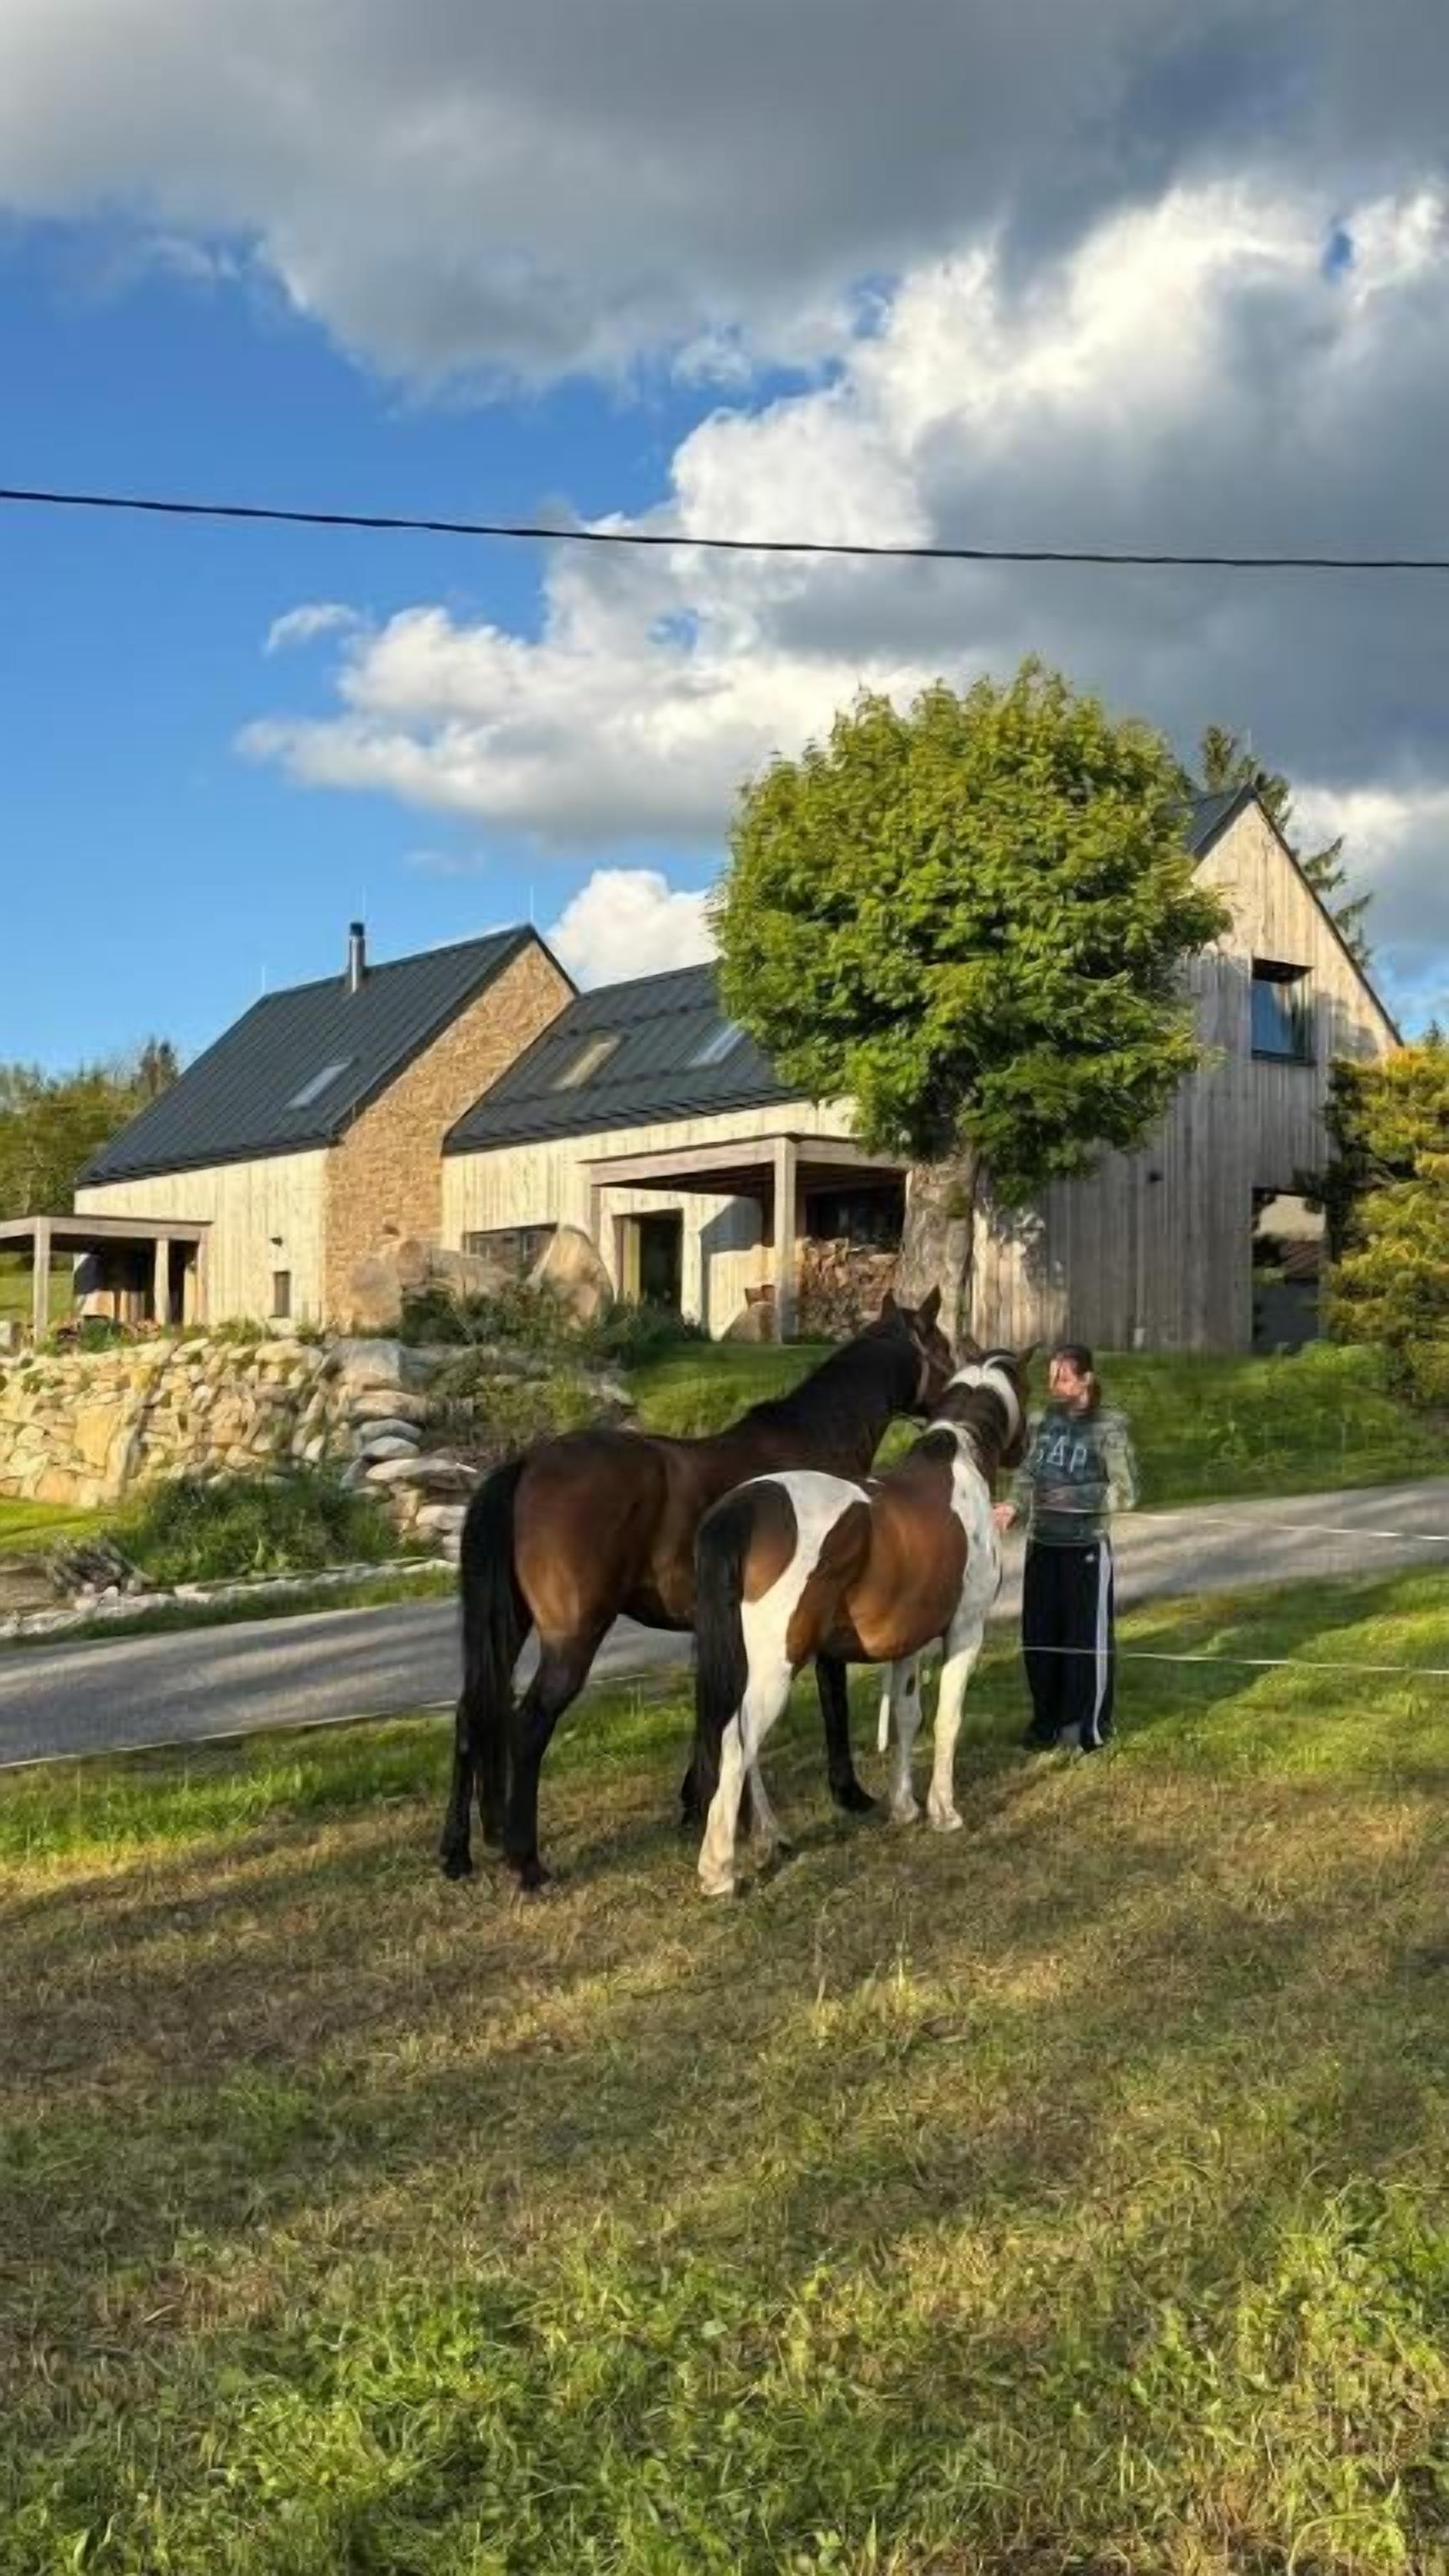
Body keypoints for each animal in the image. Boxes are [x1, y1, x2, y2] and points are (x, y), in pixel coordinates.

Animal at [439, 1291, 956, 1891]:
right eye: (944, 1347)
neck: (813, 1442)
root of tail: (526, 1464)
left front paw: (700, 1803)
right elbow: (832, 1698)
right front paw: (847, 1793)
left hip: (511, 1627)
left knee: (471, 1715)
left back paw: (457, 1853)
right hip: (573, 1637)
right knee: (527, 1726)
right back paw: (527, 1862)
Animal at [688, 1343, 1033, 1898]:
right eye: (1026, 1385)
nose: (1025, 1448)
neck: (957, 1469)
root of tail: (743, 1510)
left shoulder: (909, 1643)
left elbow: (907, 1716)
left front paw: (905, 1807)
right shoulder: (964, 1631)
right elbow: (947, 1718)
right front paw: (944, 1812)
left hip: (752, 1668)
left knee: (743, 1746)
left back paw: (769, 1840)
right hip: (777, 1668)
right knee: (736, 1745)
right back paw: (720, 1872)